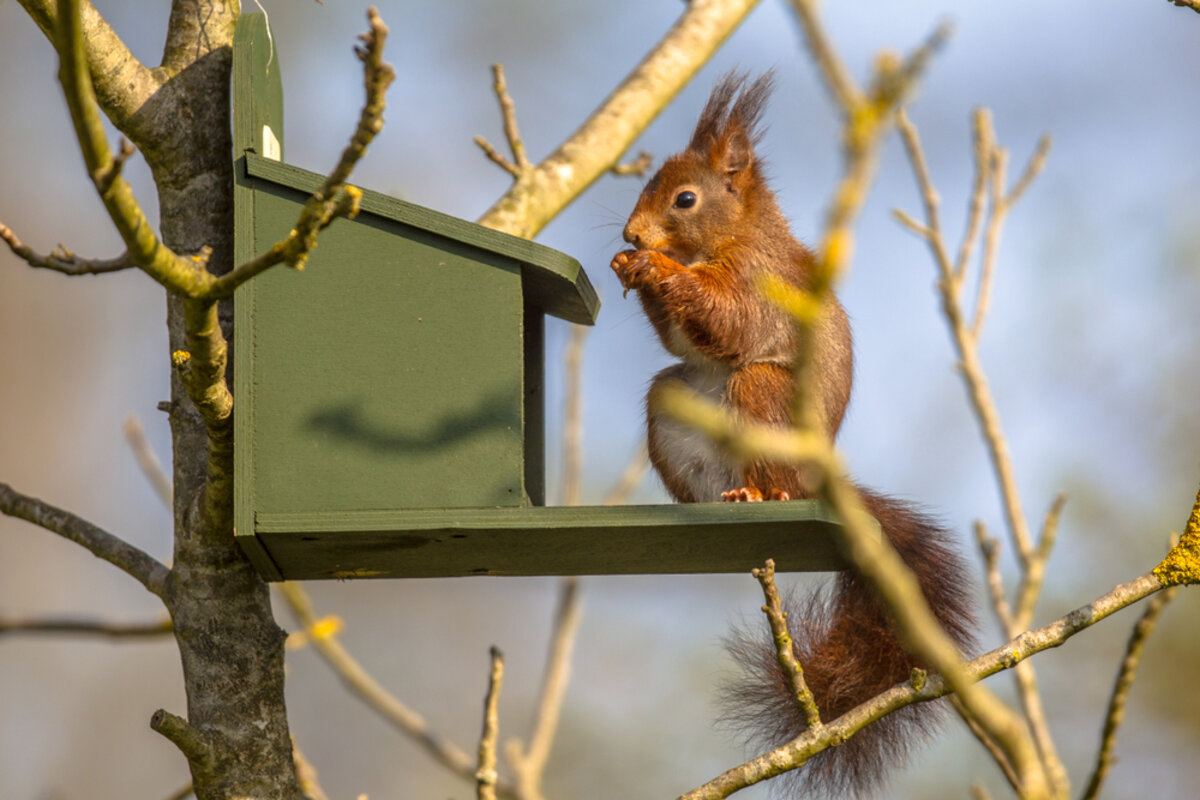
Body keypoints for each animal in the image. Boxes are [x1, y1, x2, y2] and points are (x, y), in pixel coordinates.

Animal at [609, 71, 974, 796]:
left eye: (685, 198)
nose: (634, 233)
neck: (727, 238)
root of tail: (815, 481)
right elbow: (684, 339)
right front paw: (626, 265)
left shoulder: (758, 282)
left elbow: (728, 320)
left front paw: (659, 272)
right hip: (672, 405)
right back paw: (711, 503)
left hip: (764, 397)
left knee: (762, 443)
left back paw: (760, 496)